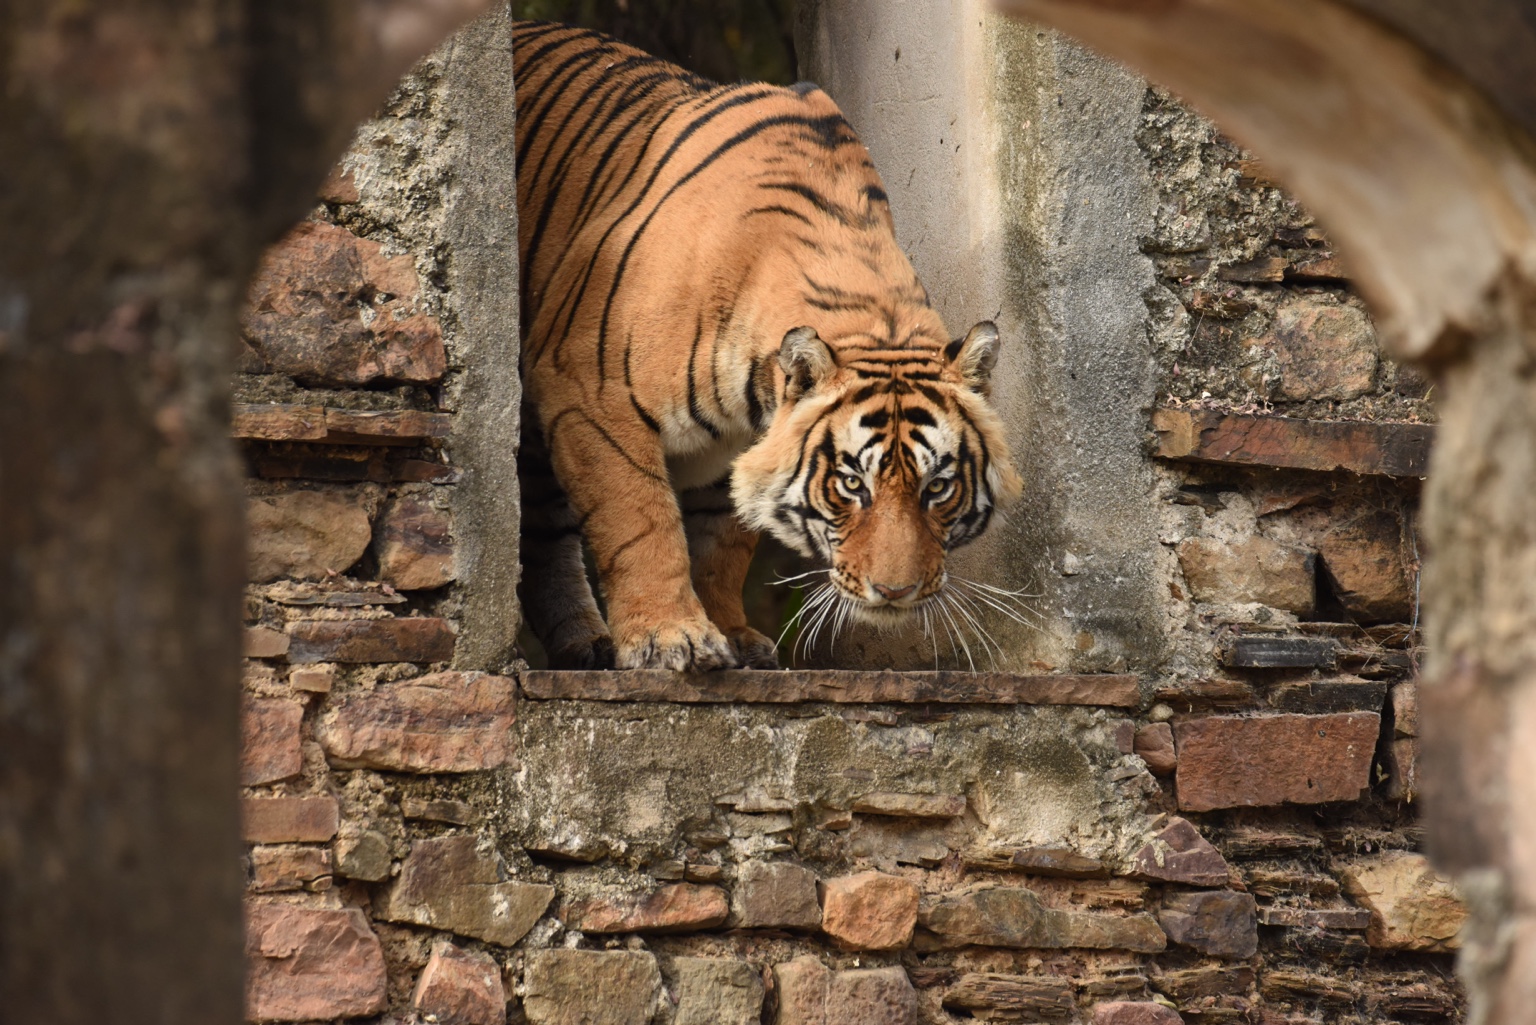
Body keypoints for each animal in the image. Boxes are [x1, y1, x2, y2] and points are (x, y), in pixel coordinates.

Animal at [513, 21, 1022, 672]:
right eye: (851, 484)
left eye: (937, 488)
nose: (896, 592)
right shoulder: (588, 393)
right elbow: (639, 520)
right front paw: (670, 639)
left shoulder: (742, 445)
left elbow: (722, 543)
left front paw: (731, 635)